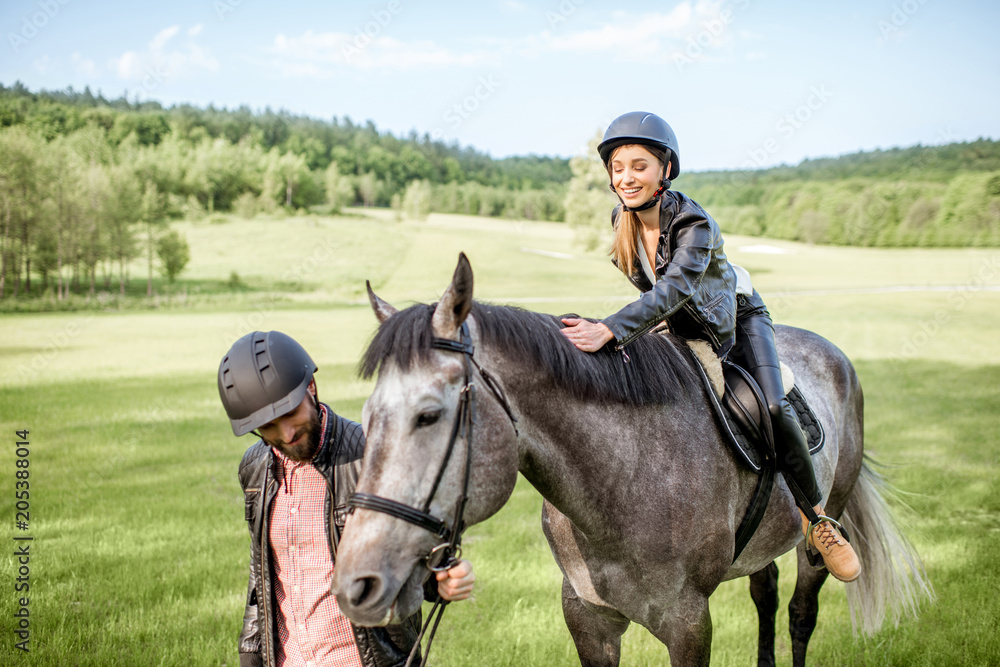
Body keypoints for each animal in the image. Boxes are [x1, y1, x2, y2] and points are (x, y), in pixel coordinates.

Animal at [332, 256, 932, 667]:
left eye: (428, 415)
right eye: (367, 415)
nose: (356, 583)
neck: (625, 478)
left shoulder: (689, 623)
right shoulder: (588, 619)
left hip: (822, 527)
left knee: (801, 611)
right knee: (765, 595)